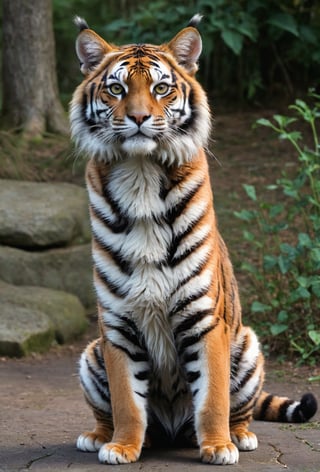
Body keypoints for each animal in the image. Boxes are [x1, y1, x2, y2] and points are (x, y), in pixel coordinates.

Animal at [69, 16, 316, 466]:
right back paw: (99, 436)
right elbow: (127, 400)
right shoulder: (118, 324)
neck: (141, 172)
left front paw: (218, 446)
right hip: (92, 351)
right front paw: (122, 446)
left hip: (247, 344)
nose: (138, 118)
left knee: (240, 409)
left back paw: (241, 436)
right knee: (107, 411)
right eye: (117, 89)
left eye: (160, 88)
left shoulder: (203, 318)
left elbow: (213, 396)